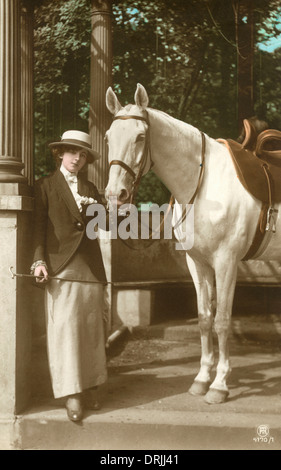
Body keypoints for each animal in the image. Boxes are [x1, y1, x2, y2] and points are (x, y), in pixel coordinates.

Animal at [103, 83, 280, 404]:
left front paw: (220, 385)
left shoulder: (226, 262)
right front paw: (201, 379)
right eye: (109, 137)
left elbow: (222, 321)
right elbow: (204, 318)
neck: (205, 183)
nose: (115, 194)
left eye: (140, 137)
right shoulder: (197, 263)